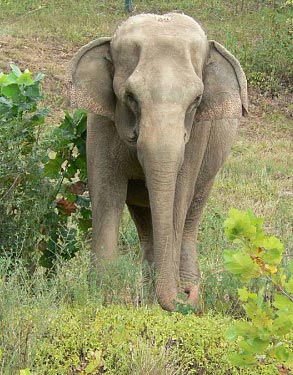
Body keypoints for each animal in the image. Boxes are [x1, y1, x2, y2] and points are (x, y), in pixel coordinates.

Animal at [69, 13, 246, 312]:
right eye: (130, 97)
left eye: (197, 100)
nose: (186, 293)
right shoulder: (101, 124)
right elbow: (106, 194)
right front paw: (102, 298)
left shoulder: (197, 135)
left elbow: (178, 198)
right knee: (146, 220)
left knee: (190, 216)